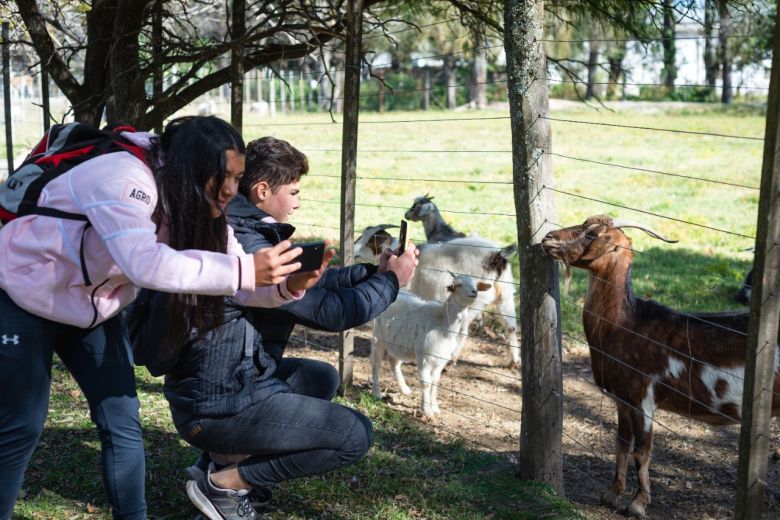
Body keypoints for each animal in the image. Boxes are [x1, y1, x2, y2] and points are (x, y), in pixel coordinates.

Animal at [374, 274, 494, 416]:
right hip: (378, 337)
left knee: (394, 361)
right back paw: (377, 393)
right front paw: (427, 411)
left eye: (476, 285)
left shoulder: (442, 358)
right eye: (458, 285)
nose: (474, 292)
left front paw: (434, 407)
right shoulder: (424, 357)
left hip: (398, 343)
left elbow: (435, 381)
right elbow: (426, 383)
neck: (442, 323)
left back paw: (404, 389)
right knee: (376, 364)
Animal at [540, 214, 780, 516]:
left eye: (592, 234)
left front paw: (637, 504)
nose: (548, 238)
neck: (625, 325)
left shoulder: (644, 398)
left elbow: (642, 451)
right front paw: (611, 494)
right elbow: (621, 444)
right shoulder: (623, 399)